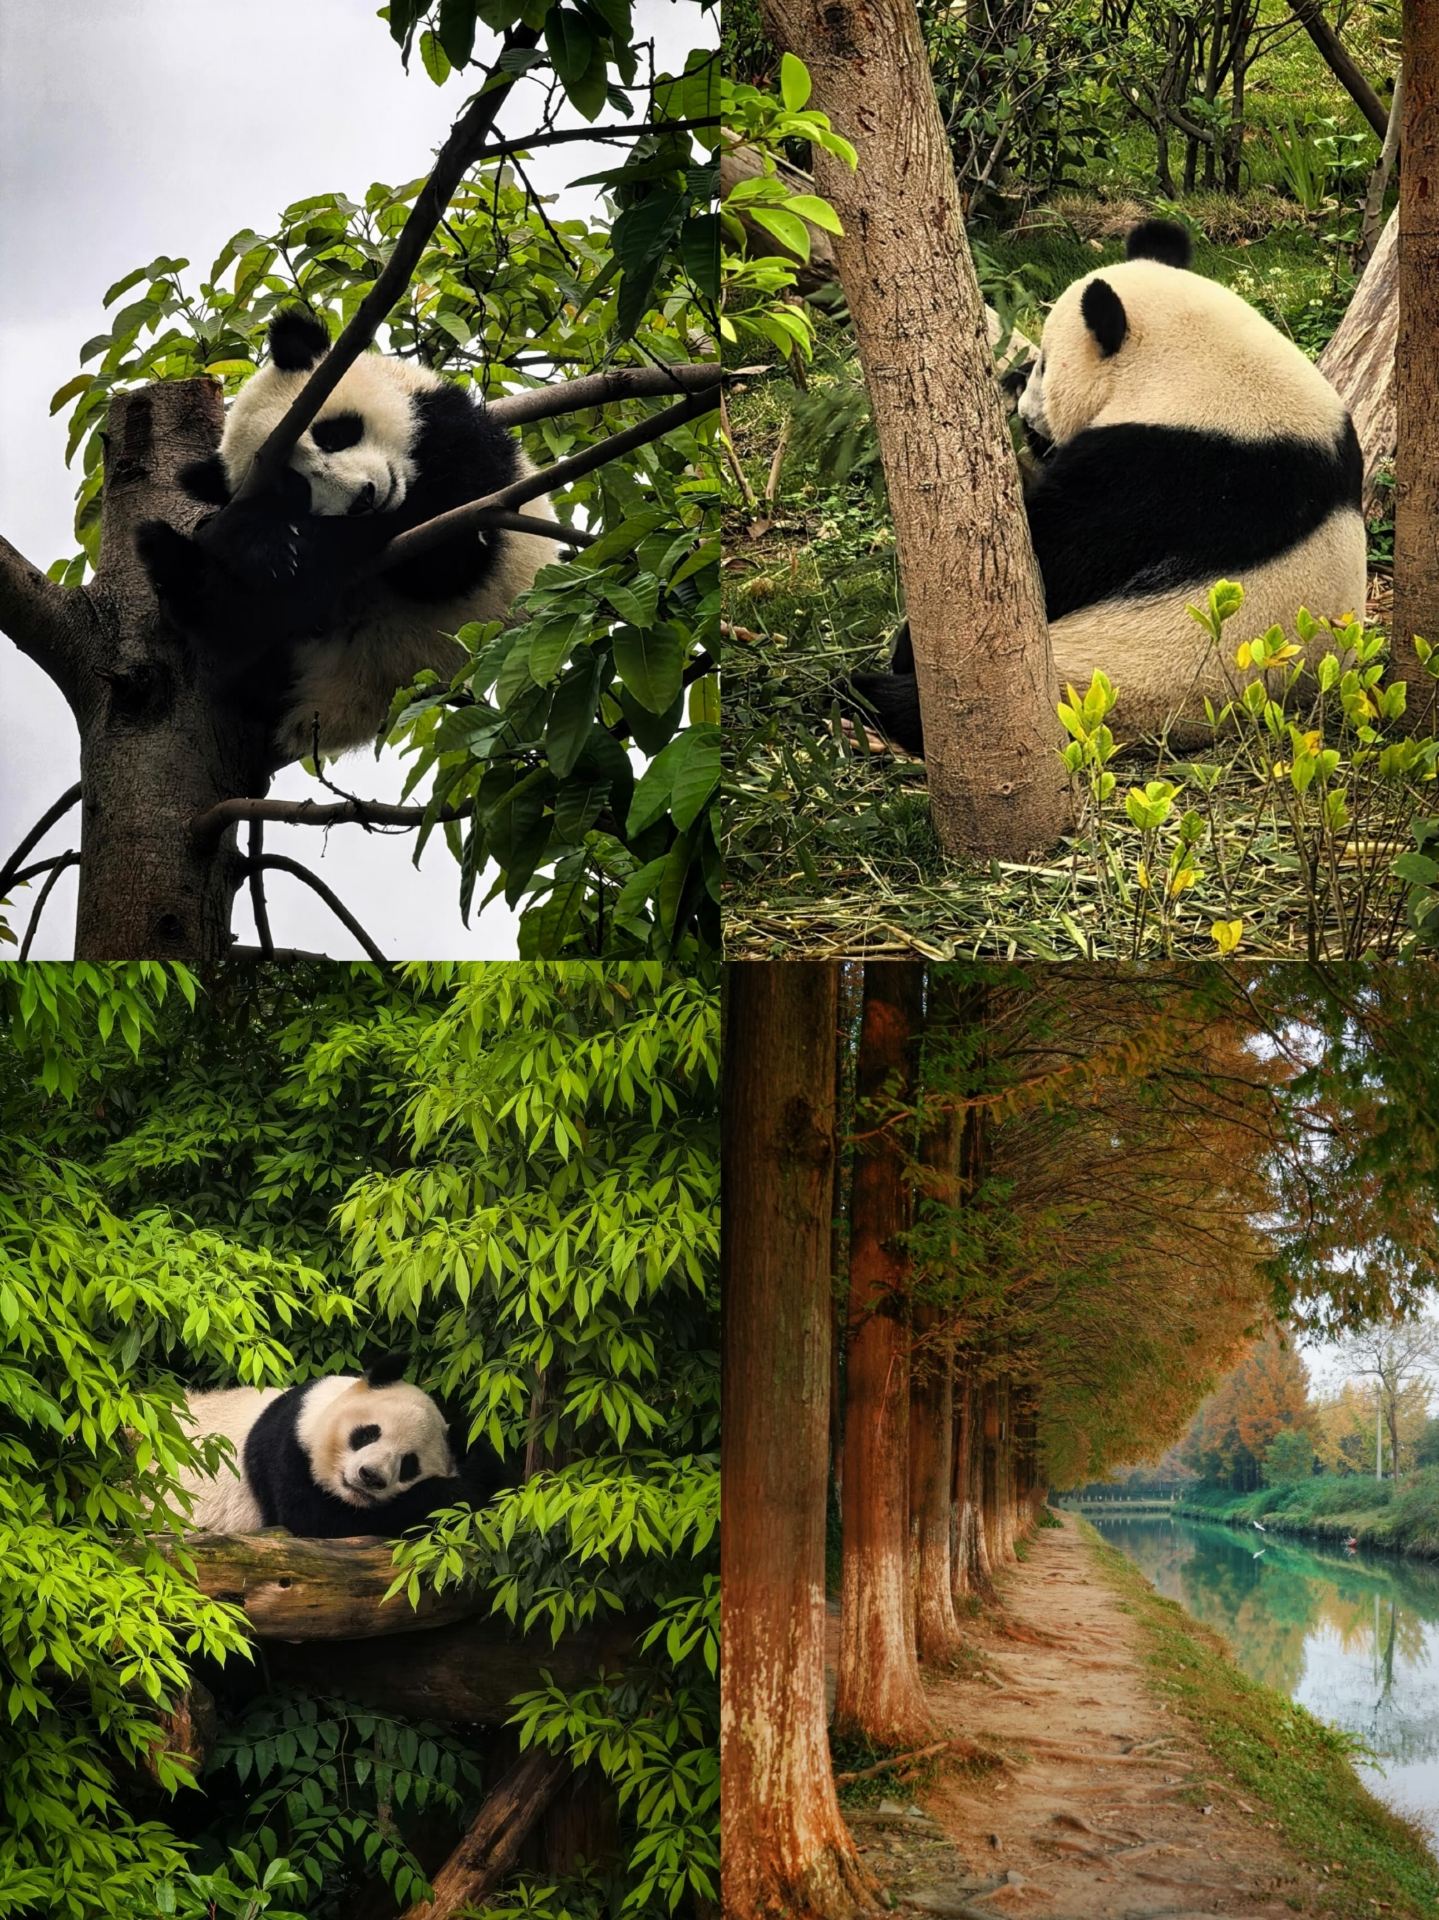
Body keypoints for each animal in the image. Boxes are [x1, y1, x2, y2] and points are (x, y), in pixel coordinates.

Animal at [136, 309, 554, 767]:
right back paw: (169, 556)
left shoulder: (460, 443)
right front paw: (258, 542)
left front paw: (263, 537)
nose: (362, 499)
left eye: (333, 434)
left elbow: (445, 561)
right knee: (240, 623)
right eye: (294, 487)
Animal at [173, 1359, 493, 1538]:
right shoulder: (285, 1447)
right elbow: (320, 1522)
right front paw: (453, 1493)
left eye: (409, 1464)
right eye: (367, 1434)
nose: (370, 1476)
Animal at [853, 219, 1367, 750]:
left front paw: (908, 645)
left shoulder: (1160, 473)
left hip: (1086, 686)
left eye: (1048, 364)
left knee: (914, 704)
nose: (1027, 415)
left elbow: (1055, 555)